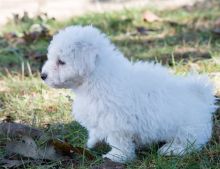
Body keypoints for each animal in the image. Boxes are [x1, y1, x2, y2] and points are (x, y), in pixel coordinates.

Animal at [41, 25, 217, 162]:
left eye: (61, 62)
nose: (43, 75)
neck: (97, 76)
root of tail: (201, 97)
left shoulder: (116, 122)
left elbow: (119, 142)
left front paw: (117, 157)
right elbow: (95, 130)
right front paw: (93, 142)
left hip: (188, 130)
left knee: (190, 143)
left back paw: (171, 149)